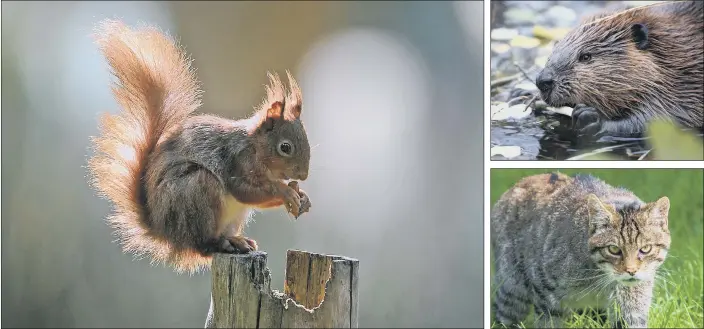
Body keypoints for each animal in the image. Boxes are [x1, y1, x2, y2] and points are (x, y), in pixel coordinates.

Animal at [86, 19, 310, 272]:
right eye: (285, 147)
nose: (303, 175)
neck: (256, 147)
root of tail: (166, 233)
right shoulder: (238, 161)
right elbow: (243, 190)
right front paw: (285, 191)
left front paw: (301, 196)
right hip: (197, 191)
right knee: (202, 245)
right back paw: (224, 243)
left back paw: (237, 240)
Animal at [536, 0, 700, 138]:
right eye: (554, 49)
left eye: (585, 56)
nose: (542, 81)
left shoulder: (685, 85)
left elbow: (663, 120)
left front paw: (589, 116)